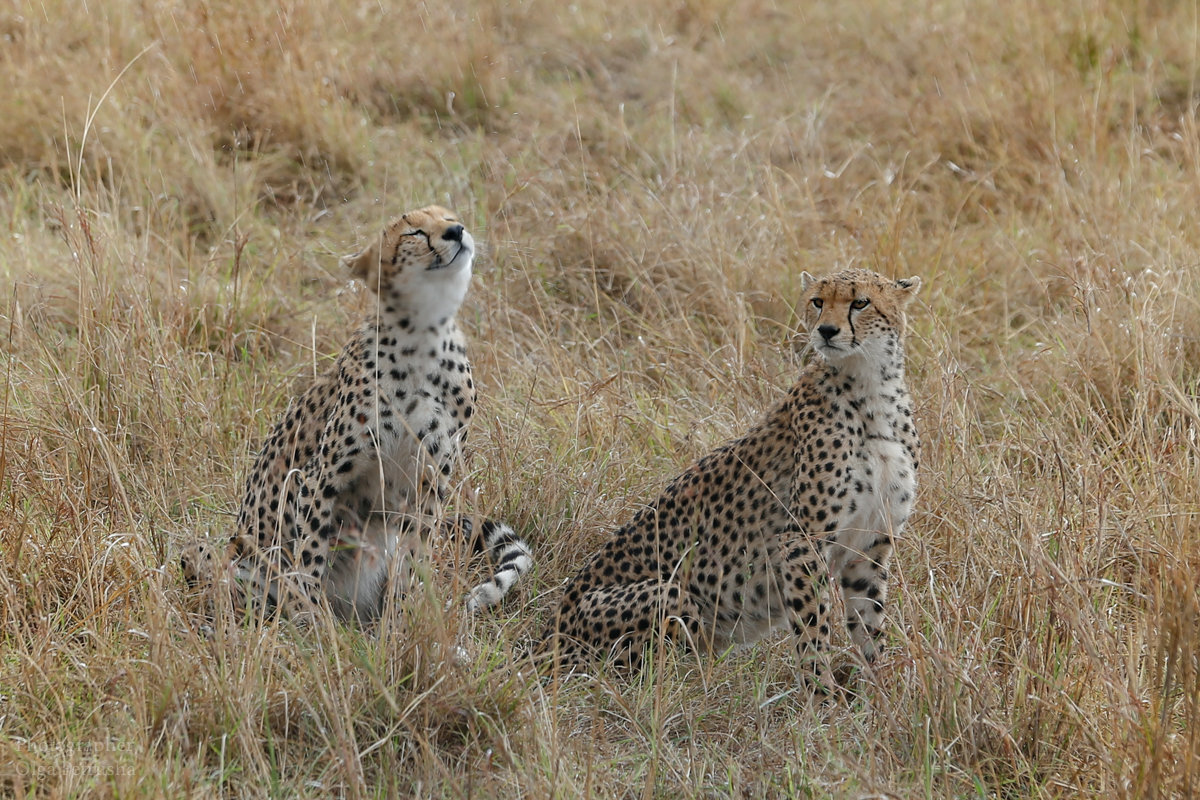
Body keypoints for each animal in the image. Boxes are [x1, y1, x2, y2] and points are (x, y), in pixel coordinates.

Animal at [180, 203, 532, 623]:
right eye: (414, 232)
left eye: (449, 216)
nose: (457, 231)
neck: (425, 335)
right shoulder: (316, 479)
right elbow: (310, 557)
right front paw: (314, 624)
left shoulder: (431, 481)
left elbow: (414, 560)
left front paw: (402, 622)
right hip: (220, 556)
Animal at [540, 267, 921, 690]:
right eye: (818, 301)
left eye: (861, 302)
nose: (826, 331)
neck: (872, 389)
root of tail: (548, 632)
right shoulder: (801, 543)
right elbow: (813, 632)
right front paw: (823, 696)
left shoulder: (869, 545)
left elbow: (869, 625)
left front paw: (882, 692)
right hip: (670, 595)